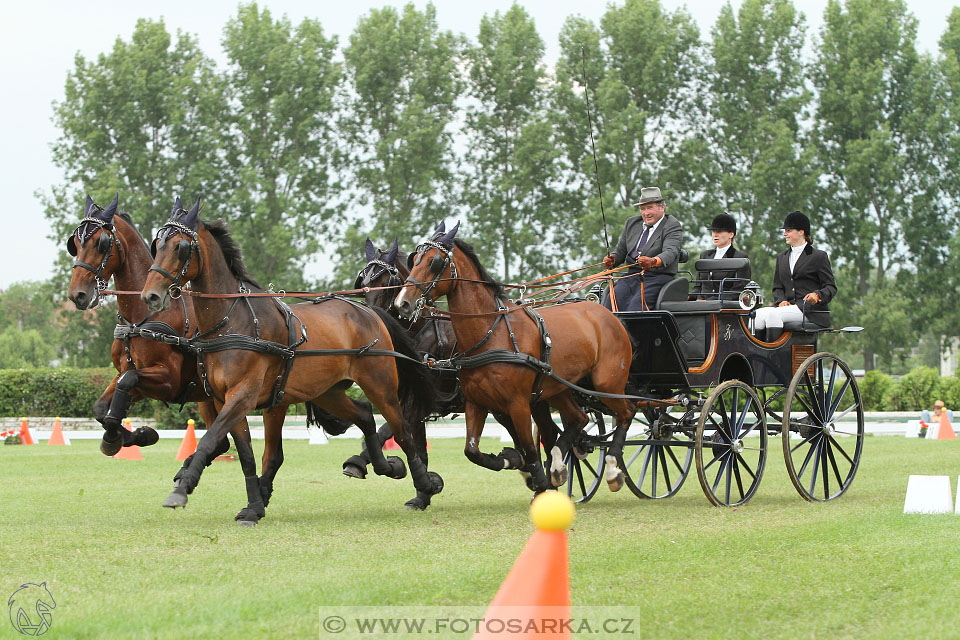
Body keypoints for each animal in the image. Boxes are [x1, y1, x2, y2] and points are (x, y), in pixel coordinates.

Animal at [65, 196, 264, 524]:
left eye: (102, 243)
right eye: (75, 244)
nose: (77, 295)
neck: (142, 317)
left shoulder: (166, 380)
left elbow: (126, 386)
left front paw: (136, 435)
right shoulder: (128, 373)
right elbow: (102, 408)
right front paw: (125, 436)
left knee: (225, 440)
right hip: (207, 398)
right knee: (222, 441)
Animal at [141, 200, 440, 516]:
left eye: (180, 247)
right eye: (158, 244)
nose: (150, 295)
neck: (233, 321)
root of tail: (368, 311)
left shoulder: (243, 396)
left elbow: (210, 440)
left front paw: (181, 489)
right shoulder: (225, 400)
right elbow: (245, 454)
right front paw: (252, 507)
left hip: (380, 385)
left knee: (402, 431)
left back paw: (422, 483)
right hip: (326, 392)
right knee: (364, 415)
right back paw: (384, 466)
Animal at [398, 224, 636, 496]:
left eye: (434, 262)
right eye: (414, 259)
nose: (402, 303)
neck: (491, 333)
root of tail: (606, 314)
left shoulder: (518, 404)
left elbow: (530, 449)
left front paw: (539, 484)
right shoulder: (477, 402)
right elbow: (472, 451)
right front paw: (510, 459)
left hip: (607, 383)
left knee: (626, 413)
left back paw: (612, 469)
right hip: (558, 388)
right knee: (579, 419)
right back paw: (558, 466)